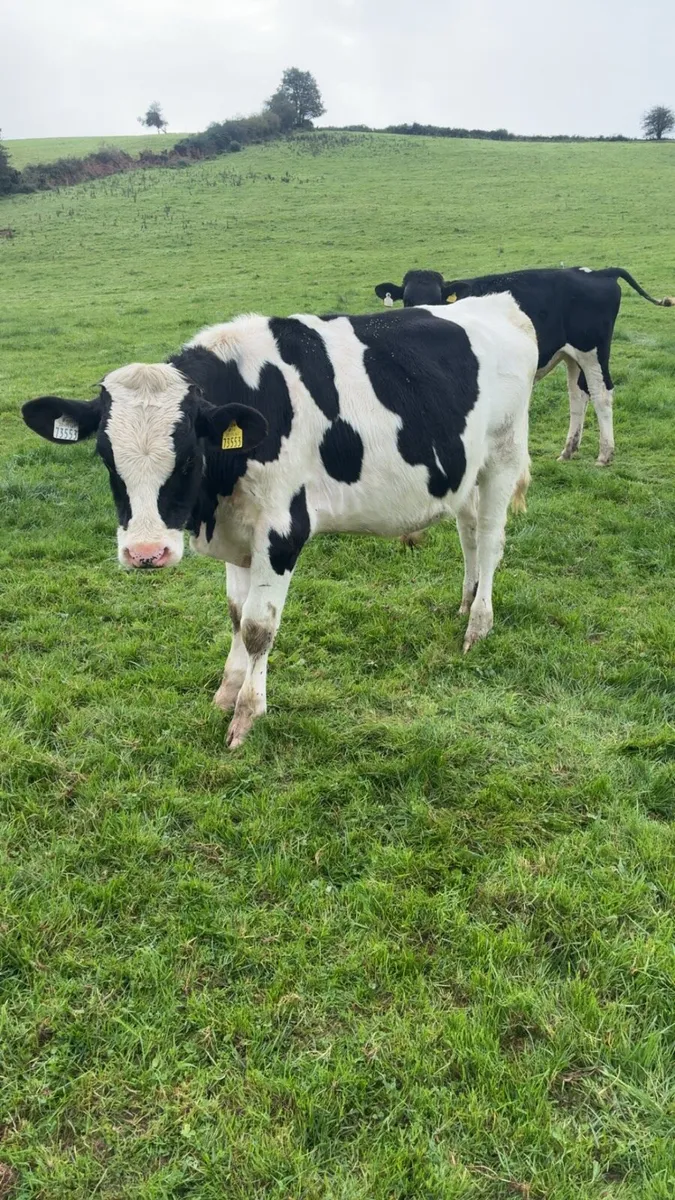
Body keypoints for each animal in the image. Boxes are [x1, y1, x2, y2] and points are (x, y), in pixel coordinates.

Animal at [21, 296, 537, 747]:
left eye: (188, 455)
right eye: (105, 456)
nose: (146, 553)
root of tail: (494, 302)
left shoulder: (282, 530)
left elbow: (257, 627)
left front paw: (247, 715)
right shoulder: (237, 532)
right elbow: (235, 614)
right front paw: (226, 693)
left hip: (503, 456)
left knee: (490, 541)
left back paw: (479, 624)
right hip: (465, 473)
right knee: (469, 535)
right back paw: (465, 603)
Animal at [375, 267, 675, 466]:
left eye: (437, 299)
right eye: (408, 300)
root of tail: (599, 272)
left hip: (592, 351)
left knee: (602, 393)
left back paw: (605, 454)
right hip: (572, 356)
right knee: (578, 395)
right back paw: (568, 450)